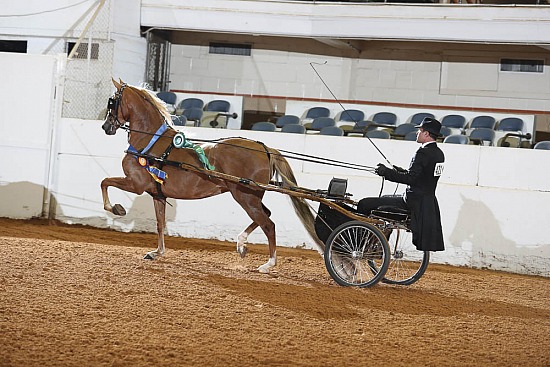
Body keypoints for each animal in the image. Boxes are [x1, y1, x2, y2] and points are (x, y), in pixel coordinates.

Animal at [101, 80, 324, 274]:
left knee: (268, 224)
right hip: (251, 196)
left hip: (245, 196)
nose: (106, 127)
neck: (150, 142)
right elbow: (160, 223)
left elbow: (105, 182)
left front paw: (116, 209)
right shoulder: (158, 194)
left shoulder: (136, 184)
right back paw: (241, 244)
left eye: (112, 101)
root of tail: (265, 148)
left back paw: (268, 264)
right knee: (265, 216)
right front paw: (157, 252)